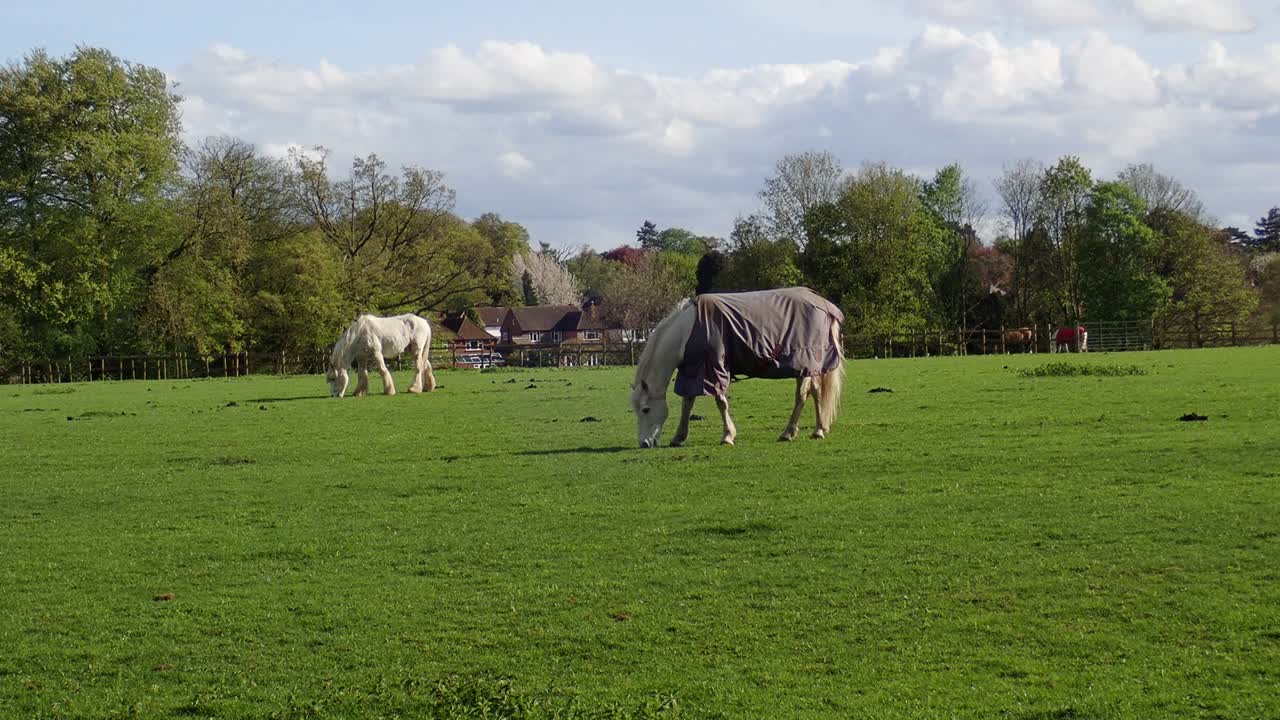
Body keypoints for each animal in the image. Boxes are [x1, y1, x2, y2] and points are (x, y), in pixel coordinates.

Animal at [631, 288, 845, 448]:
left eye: (646, 410)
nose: (644, 443)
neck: (689, 330)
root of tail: (824, 305)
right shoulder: (693, 371)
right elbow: (687, 403)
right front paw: (679, 437)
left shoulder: (713, 369)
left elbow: (721, 402)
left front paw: (727, 435)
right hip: (810, 368)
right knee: (816, 392)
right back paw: (819, 429)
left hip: (804, 364)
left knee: (802, 395)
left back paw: (789, 432)